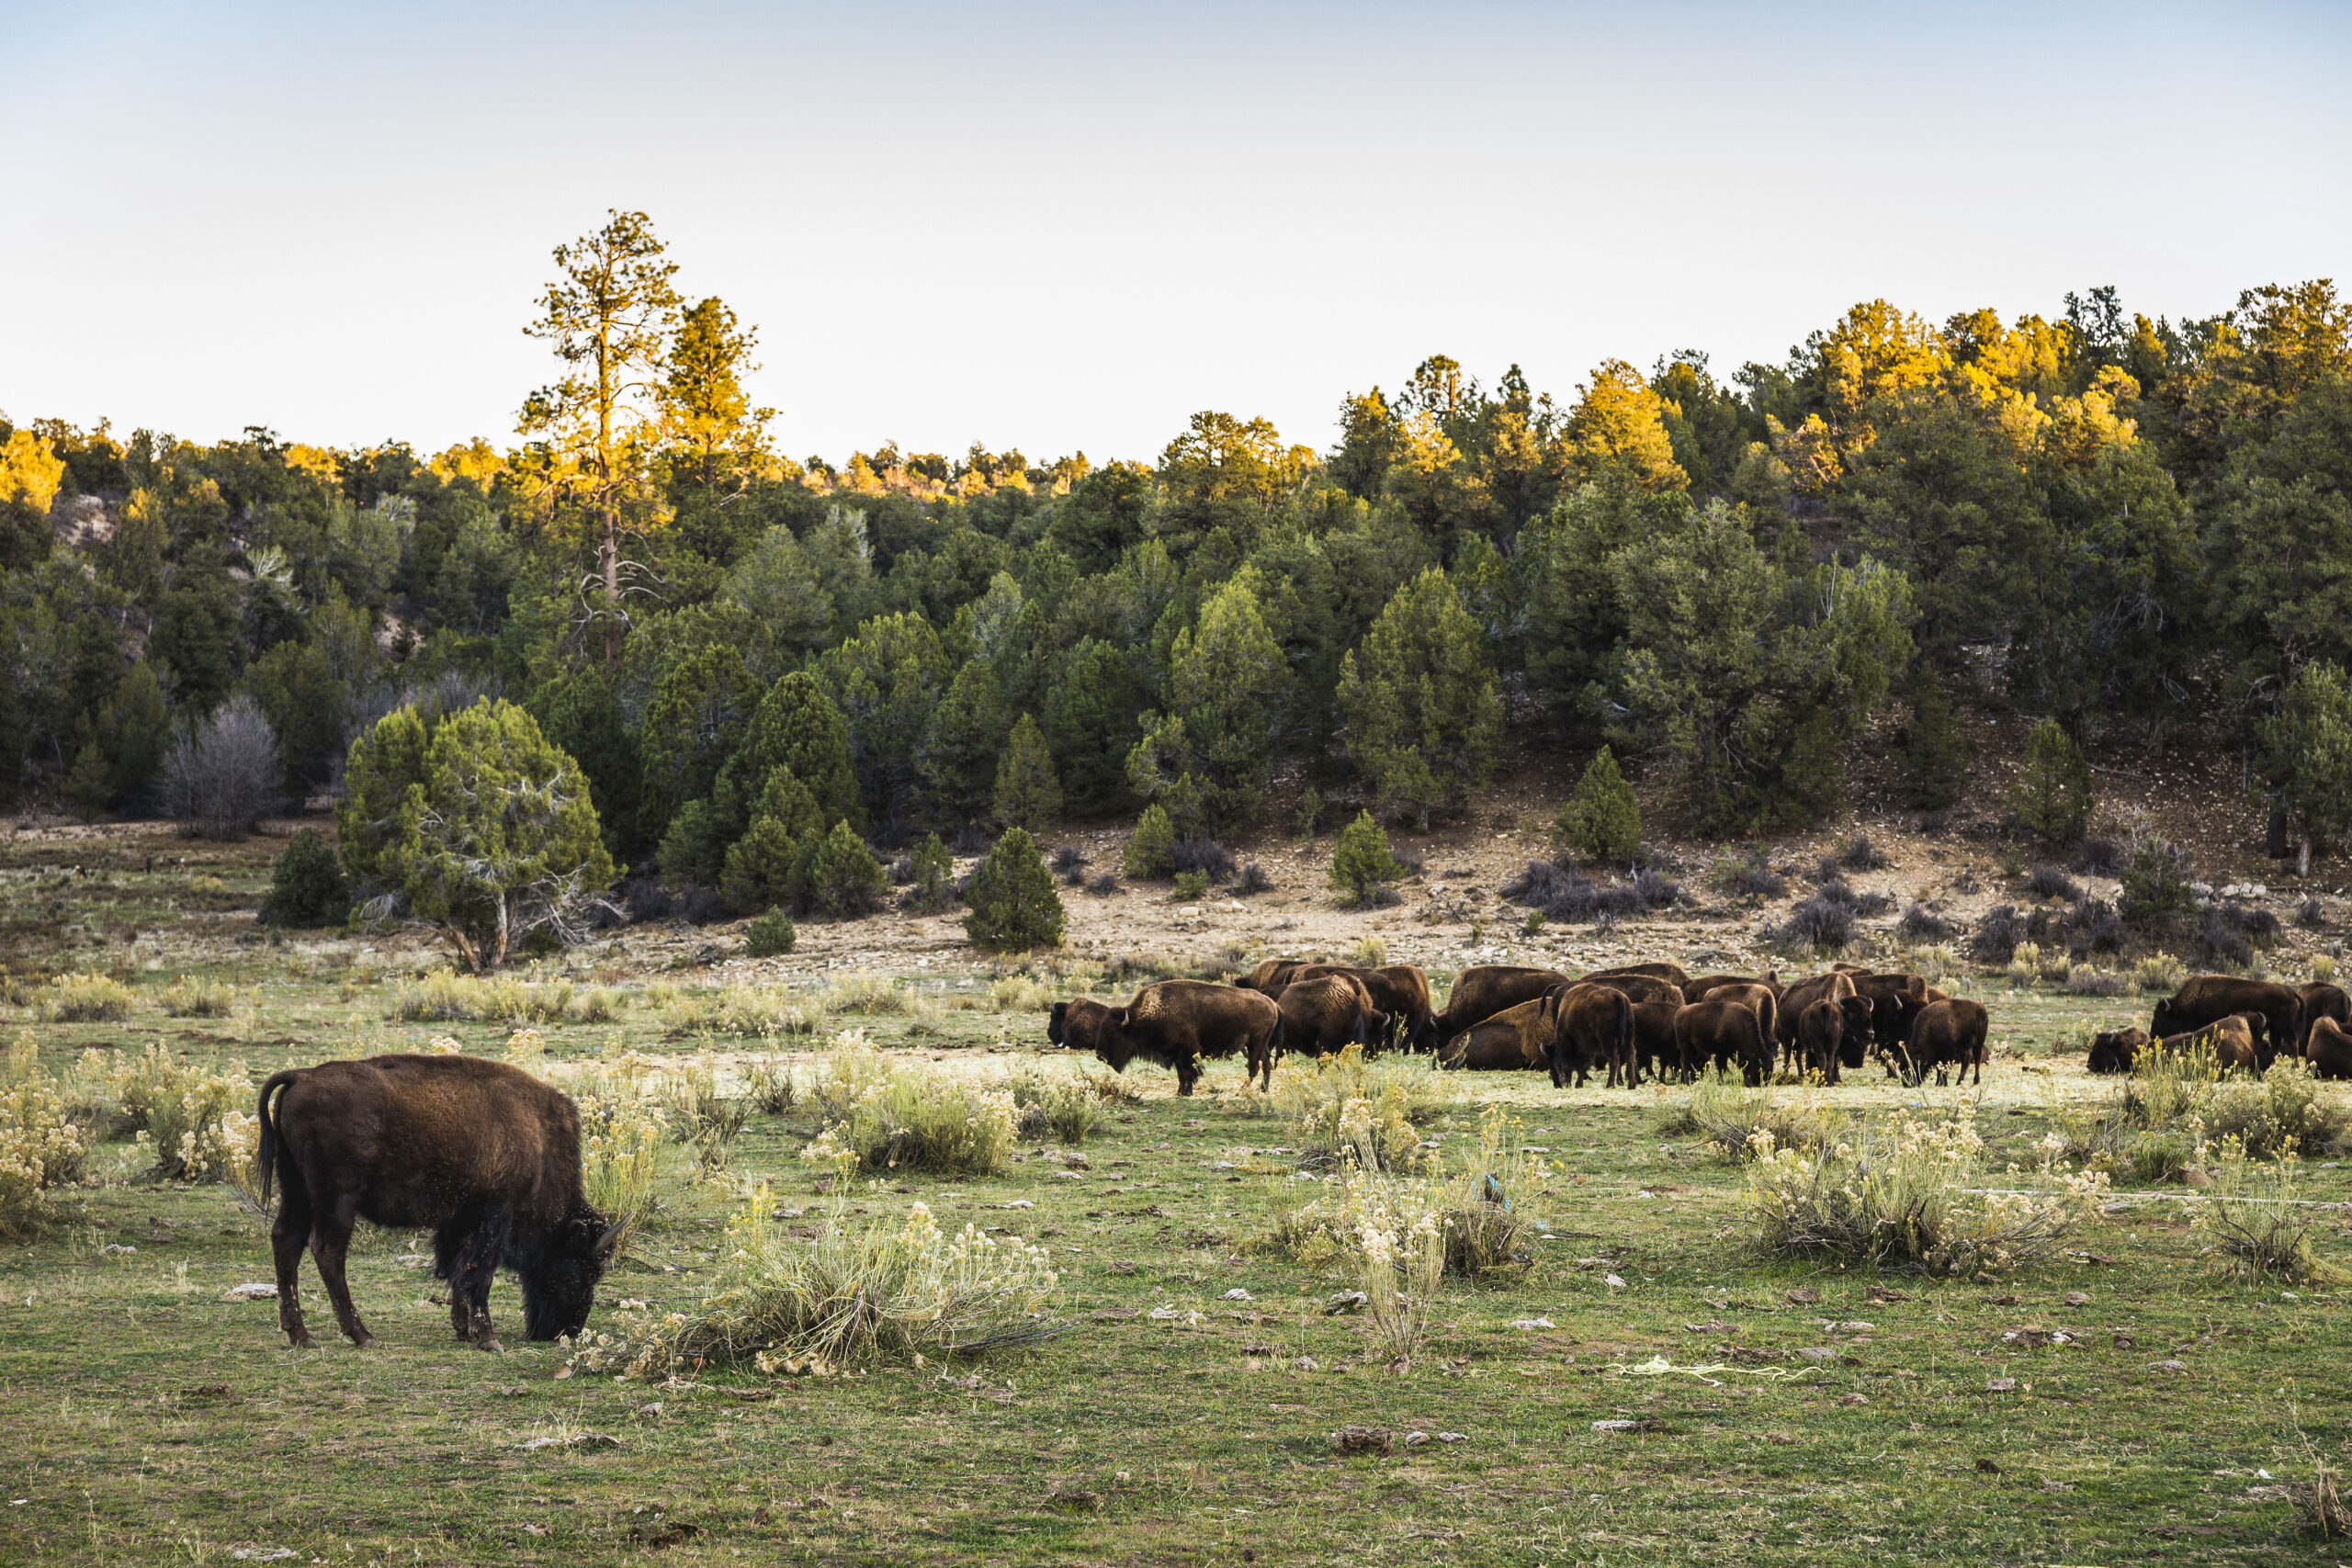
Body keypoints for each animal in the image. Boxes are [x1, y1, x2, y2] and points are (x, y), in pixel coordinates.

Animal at [256, 1054, 617, 1352]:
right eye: (578, 1272)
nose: (568, 1331)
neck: (538, 1141)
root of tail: (301, 1077)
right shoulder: (495, 1218)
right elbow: (479, 1274)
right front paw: (489, 1339)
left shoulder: (461, 1220)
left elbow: (458, 1270)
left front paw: (464, 1330)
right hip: (336, 1199)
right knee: (327, 1252)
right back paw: (361, 1335)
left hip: (296, 1188)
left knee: (286, 1240)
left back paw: (301, 1335)